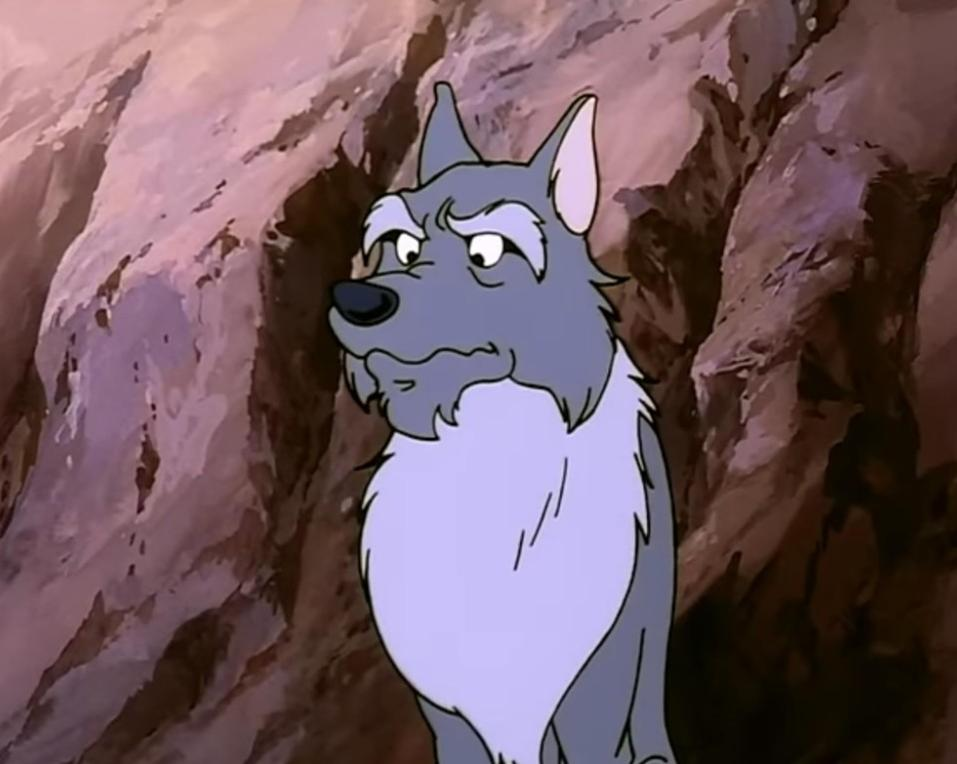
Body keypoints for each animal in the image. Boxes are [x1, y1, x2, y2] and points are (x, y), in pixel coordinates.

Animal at [327, 81, 678, 764]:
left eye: (487, 252)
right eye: (403, 247)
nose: (355, 303)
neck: (488, 465)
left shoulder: (589, 696)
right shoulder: (449, 718)